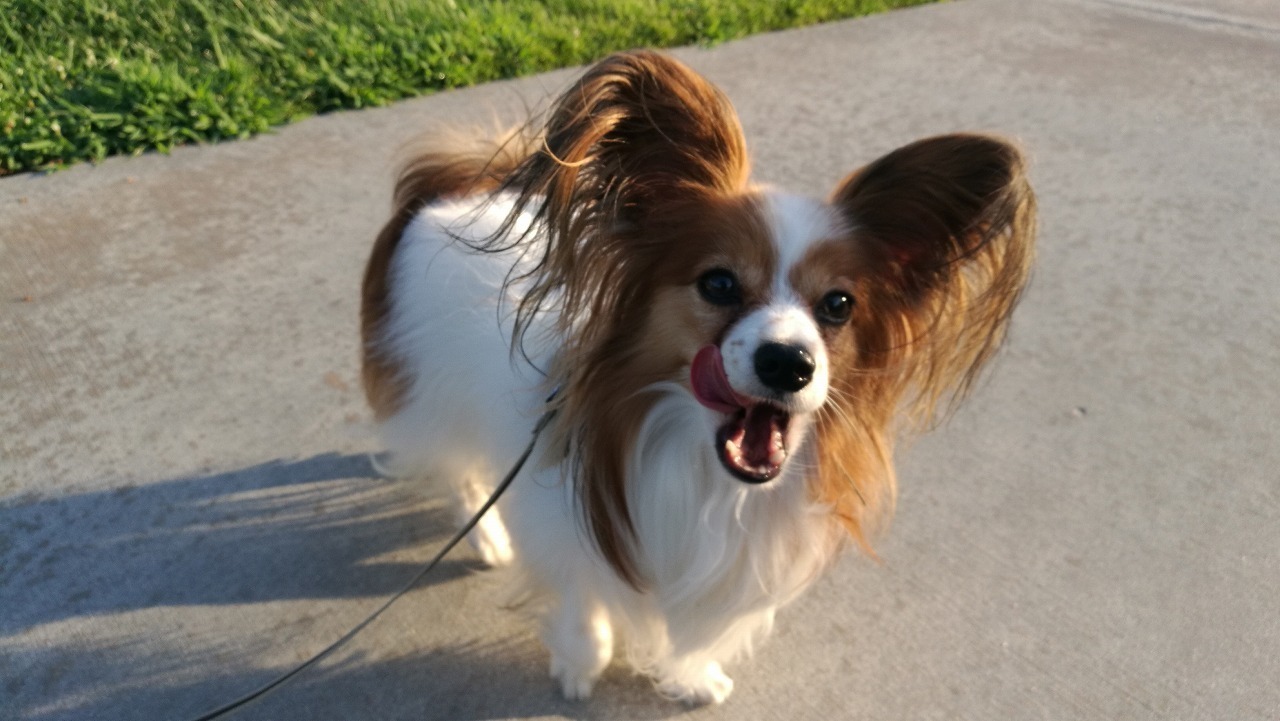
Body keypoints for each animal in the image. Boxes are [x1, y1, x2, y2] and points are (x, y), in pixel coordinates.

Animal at [355, 50, 1034, 706]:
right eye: (719, 283)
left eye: (838, 305)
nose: (789, 363)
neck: (705, 474)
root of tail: (457, 183)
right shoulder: (562, 535)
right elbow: (583, 611)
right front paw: (578, 669)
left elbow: (692, 636)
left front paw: (689, 677)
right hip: (428, 394)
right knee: (456, 467)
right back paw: (485, 536)